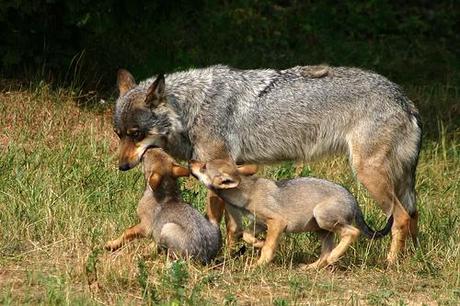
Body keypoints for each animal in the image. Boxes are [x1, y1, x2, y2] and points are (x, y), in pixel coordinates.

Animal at [189, 159, 394, 268]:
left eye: (204, 166)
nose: (191, 161)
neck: (247, 192)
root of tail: (353, 199)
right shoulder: (260, 223)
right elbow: (247, 235)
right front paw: (258, 243)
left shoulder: (277, 223)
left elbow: (269, 247)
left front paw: (260, 263)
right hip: (320, 229)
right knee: (325, 253)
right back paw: (312, 267)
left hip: (322, 218)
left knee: (352, 232)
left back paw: (335, 256)